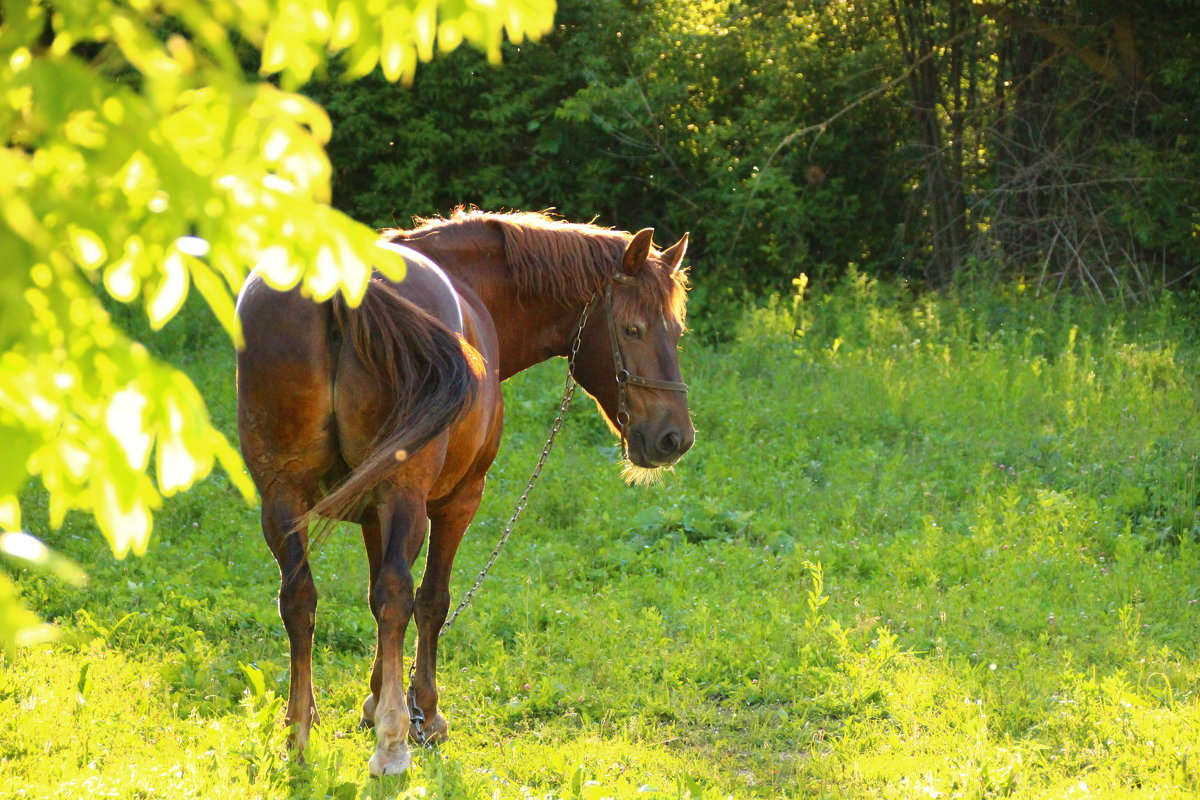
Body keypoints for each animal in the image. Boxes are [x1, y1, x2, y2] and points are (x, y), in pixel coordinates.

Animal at [234, 209, 696, 772]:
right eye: (633, 329)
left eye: (676, 331)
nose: (674, 438)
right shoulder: (458, 500)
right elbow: (430, 599)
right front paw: (422, 714)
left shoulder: (371, 507)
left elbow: (372, 596)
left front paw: (374, 699)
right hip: (405, 495)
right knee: (397, 596)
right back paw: (393, 744)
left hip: (281, 496)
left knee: (300, 598)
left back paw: (298, 734)